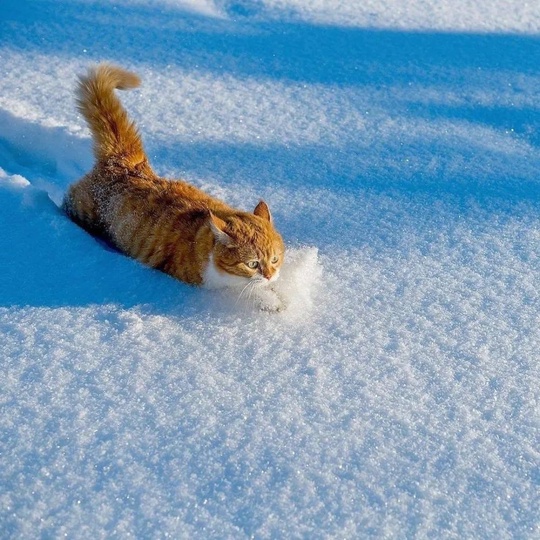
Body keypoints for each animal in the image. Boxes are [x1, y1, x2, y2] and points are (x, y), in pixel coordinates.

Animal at [63, 63, 284, 310]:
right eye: (253, 264)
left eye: (275, 259)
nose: (270, 275)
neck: (203, 235)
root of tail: (125, 163)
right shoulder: (206, 282)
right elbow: (243, 291)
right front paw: (268, 299)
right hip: (82, 207)